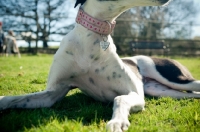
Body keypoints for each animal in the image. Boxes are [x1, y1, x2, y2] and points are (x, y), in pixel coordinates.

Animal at [0, 0, 200, 131]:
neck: (92, 37)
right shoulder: (53, 93)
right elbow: (12, 98)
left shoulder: (134, 93)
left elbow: (119, 98)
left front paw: (117, 122)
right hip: (164, 91)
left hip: (177, 79)